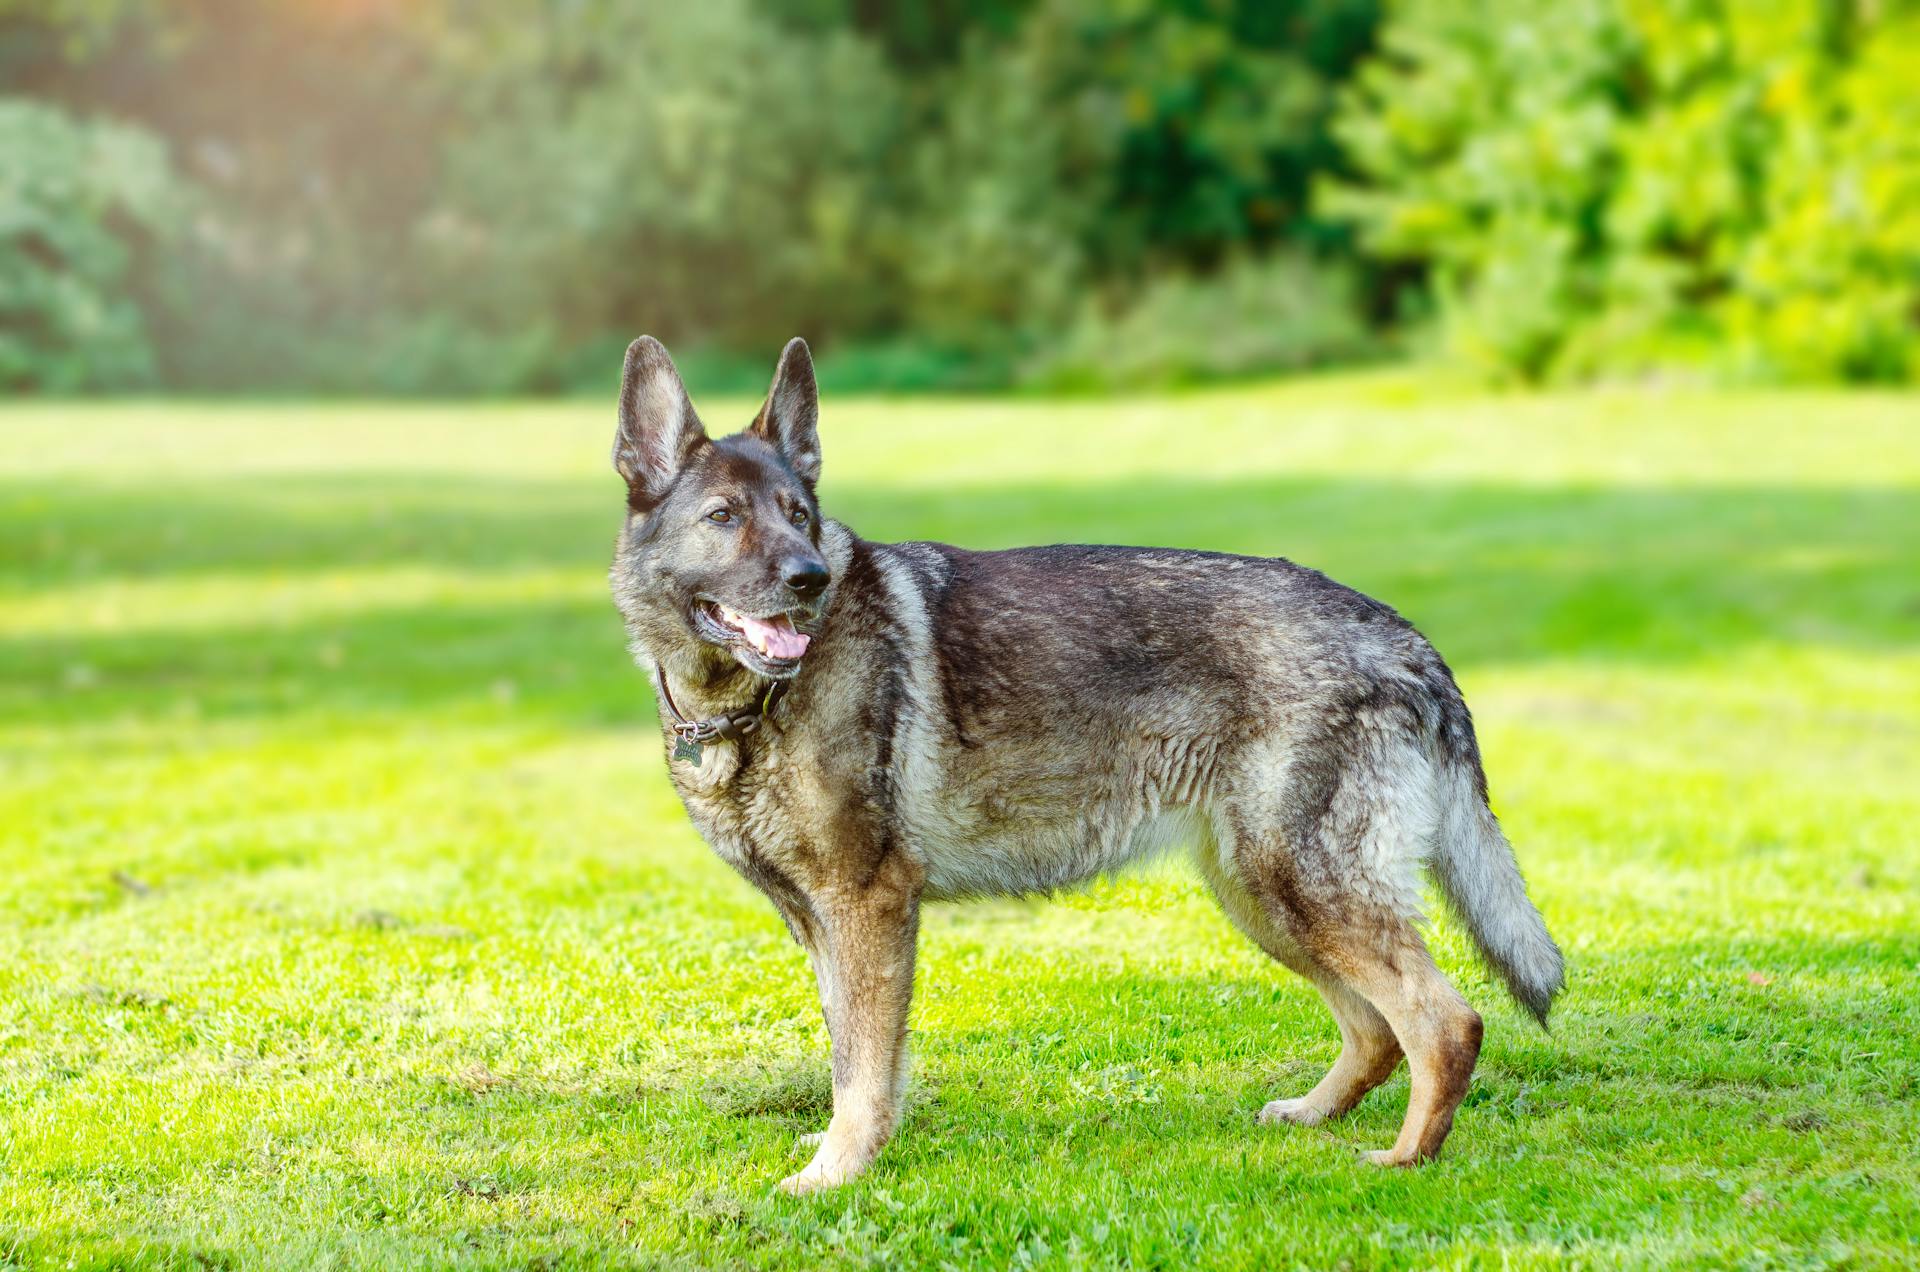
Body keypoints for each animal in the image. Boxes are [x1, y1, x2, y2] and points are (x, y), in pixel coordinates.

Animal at [606, 336, 1566, 1198]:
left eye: (798, 514)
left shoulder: (867, 909)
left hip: (1302, 888)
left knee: (1444, 1022)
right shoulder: (822, 927)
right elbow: (853, 1054)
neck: (750, 706)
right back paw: (1314, 1117)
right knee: (1376, 1032)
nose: (809, 578)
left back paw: (1407, 1160)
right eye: (725, 518)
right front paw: (849, 1150)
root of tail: (1403, 636)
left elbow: (862, 1065)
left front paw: (835, 1173)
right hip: (1262, 898)